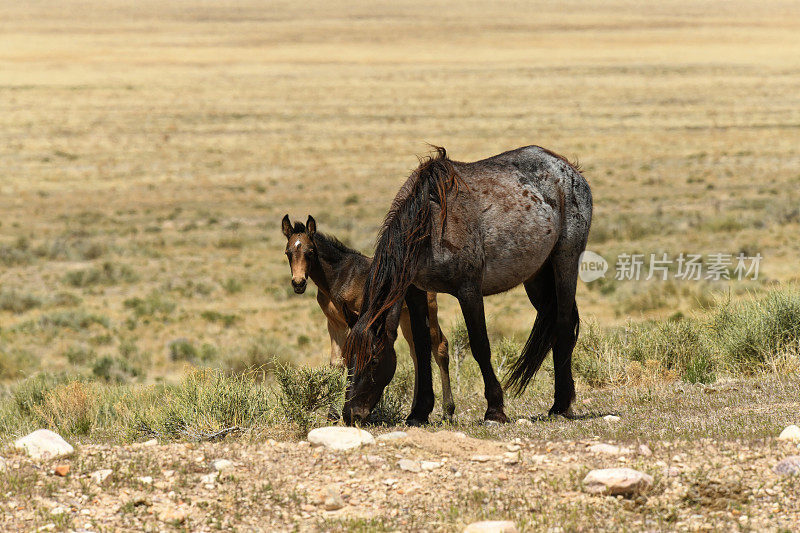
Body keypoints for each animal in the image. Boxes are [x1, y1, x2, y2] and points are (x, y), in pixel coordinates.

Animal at [282, 214, 456, 418]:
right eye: (288, 253)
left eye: (310, 252)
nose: (298, 283)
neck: (341, 276)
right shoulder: (334, 322)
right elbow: (336, 363)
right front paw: (332, 414)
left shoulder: (357, 318)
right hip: (406, 316)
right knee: (416, 352)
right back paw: (415, 410)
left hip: (429, 310)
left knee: (440, 347)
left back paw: (447, 411)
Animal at [340, 144, 592, 424]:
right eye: (348, 359)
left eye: (373, 360)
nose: (350, 414)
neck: (428, 224)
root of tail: (568, 168)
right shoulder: (416, 292)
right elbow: (422, 346)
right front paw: (419, 411)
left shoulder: (468, 290)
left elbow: (480, 345)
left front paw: (495, 409)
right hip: (537, 278)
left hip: (565, 262)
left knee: (564, 325)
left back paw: (561, 405)